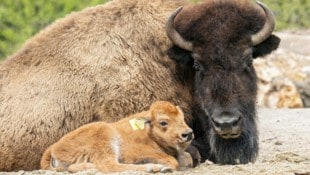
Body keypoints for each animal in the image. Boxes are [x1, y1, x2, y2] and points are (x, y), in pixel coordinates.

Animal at [40, 100, 193, 173]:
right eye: (163, 122)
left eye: (182, 118)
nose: (188, 133)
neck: (148, 131)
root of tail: (54, 147)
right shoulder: (136, 152)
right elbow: (172, 161)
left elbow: (187, 157)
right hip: (106, 137)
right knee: (109, 166)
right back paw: (153, 168)